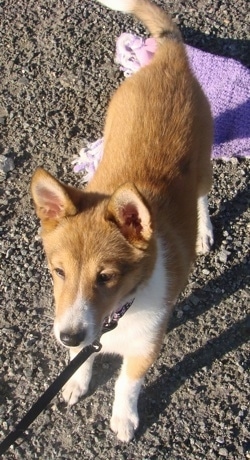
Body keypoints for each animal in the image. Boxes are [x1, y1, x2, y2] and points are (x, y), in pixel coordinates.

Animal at [30, 0, 213, 442]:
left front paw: (123, 418)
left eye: (107, 276)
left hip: (204, 164)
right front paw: (76, 381)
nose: (68, 336)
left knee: (202, 195)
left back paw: (205, 232)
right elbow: (84, 359)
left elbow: (127, 383)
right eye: (58, 272)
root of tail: (168, 58)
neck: (118, 315)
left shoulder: (148, 344)